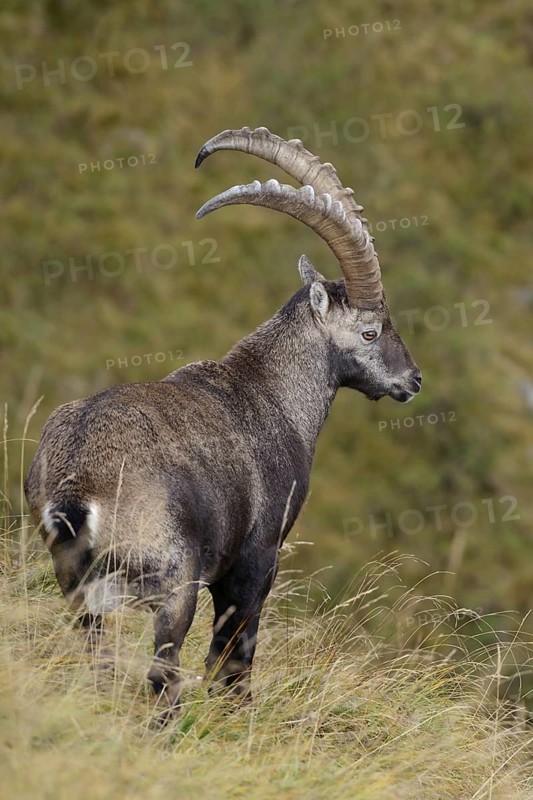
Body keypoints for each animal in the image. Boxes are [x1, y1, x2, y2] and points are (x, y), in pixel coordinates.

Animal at [25, 126, 421, 714]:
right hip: (174, 584)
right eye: (371, 331)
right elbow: (234, 656)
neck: (273, 392)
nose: (412, 380)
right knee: (163, 674)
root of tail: (78, 486)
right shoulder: (255, 560)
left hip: (77, 588)